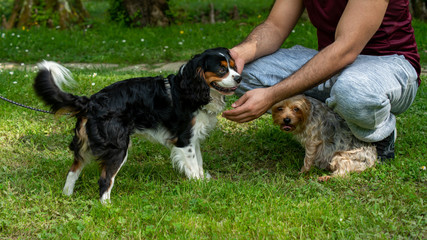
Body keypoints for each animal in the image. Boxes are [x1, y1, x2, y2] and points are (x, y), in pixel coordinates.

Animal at [33, 47, 241, 203]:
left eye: (233, 66)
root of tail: (91, 102)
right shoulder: (183, 139)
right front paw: (200, 187)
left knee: (73, 171)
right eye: (222, 70)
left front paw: (205, 182)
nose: (239, 77)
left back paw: (66, 195)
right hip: (118, 148)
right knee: (105, 180)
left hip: (85, 147)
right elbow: (193, 166)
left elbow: (199, 162)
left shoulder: (193, 138)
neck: (190, 89)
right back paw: (106, 206)